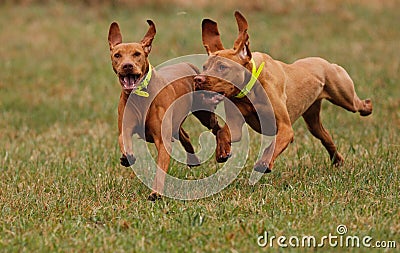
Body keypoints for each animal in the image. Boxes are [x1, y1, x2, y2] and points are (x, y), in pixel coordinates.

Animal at [108, 20, 220, 201]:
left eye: (137, 54)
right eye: (117, 55)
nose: (127, 66)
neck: (140, 96)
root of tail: (187, 64)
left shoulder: (162, 140)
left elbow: (160, 169)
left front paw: (156, 193)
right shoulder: (125, 128)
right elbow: (124, 141)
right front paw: (127, 157)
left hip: (203, 113)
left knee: (217, 127)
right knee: (184, 135)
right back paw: (193, 159)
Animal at [195, 11, 374, 174]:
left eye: (222, 67)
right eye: (205, 66)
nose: (197, 79)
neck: (250, 88)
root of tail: (324, 62)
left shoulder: (285, 128)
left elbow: (273, 145)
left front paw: (264, 163)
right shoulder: (236, 124)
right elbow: (223, 132)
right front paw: (222, 151)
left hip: (345, 97)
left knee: (356, 105)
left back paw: (367, 106)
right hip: (313, 121)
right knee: (326, 138)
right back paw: (338, 161)